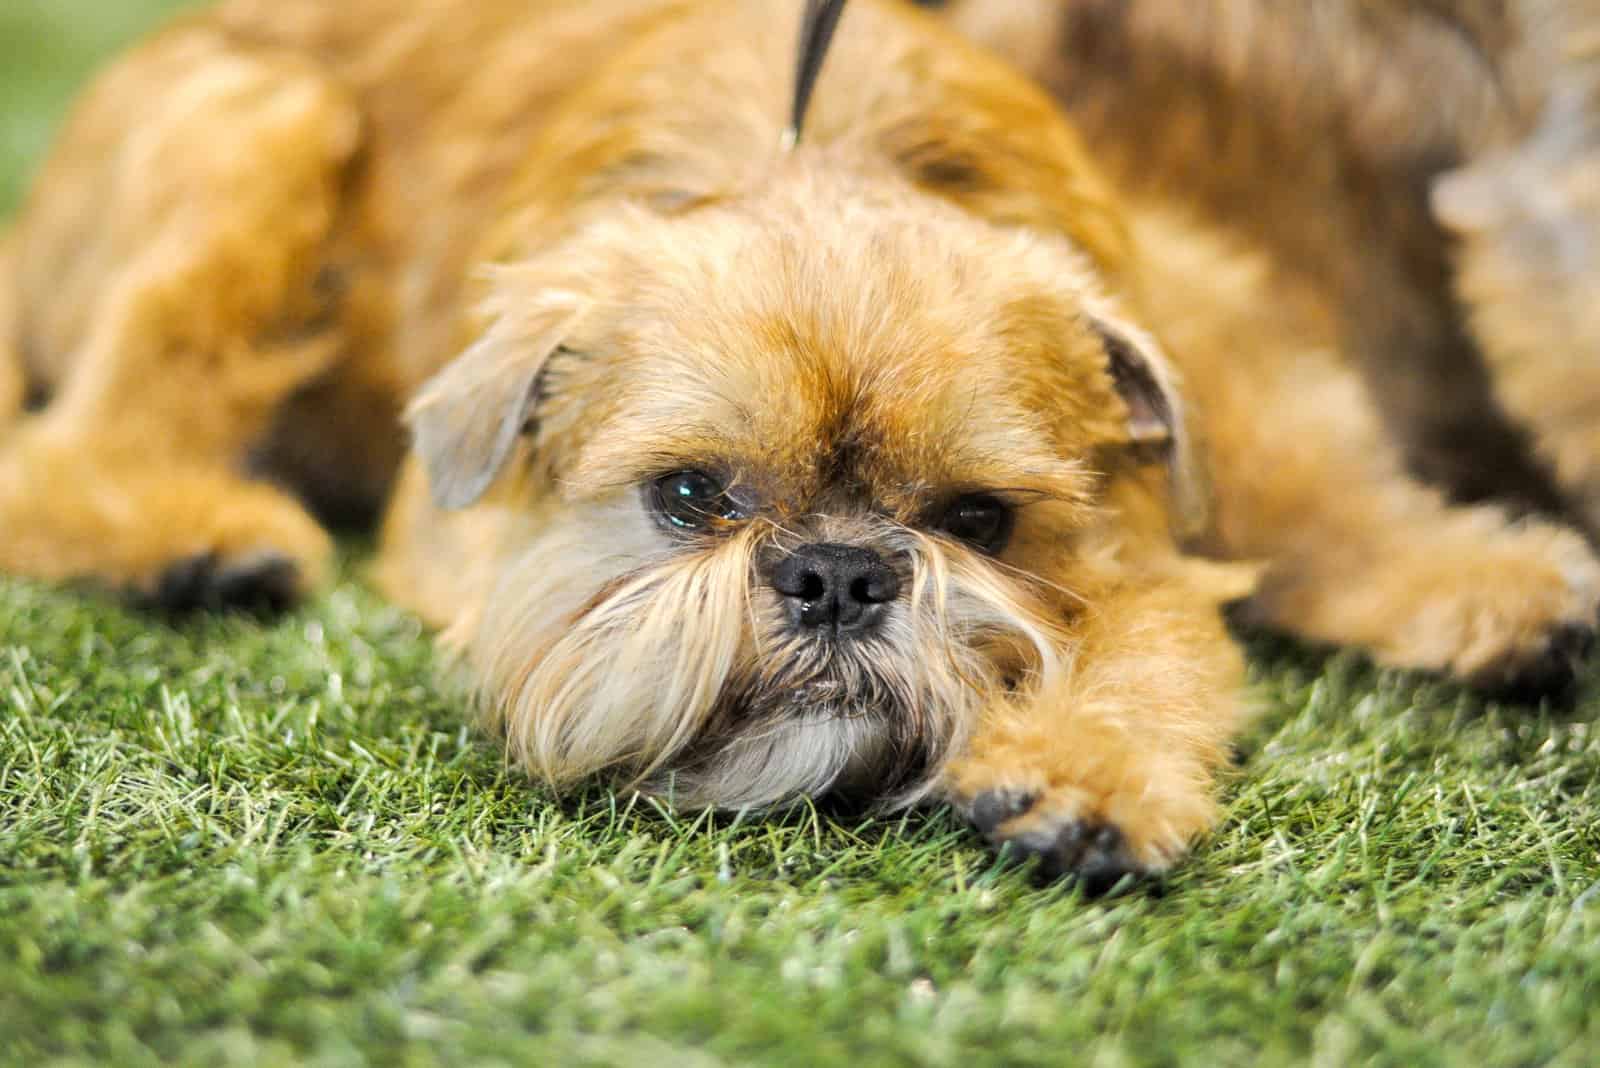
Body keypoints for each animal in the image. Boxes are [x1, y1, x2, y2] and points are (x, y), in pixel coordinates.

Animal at [0, 0, 1593, 888]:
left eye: (978, 521)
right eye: (690, 497)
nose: (834, 574)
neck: (810, 154)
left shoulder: (1143, 532)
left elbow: (1162, 644)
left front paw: (1085, 776)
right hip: (261, 124)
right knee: (59, 457)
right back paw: (191, 540)